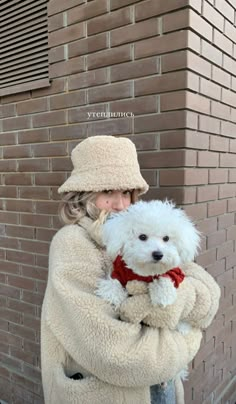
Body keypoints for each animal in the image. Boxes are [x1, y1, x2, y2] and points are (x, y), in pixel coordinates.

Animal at [97, 199, 200, 332]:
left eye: (166, 238)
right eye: (142, 237)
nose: (158, 254)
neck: (145, 272)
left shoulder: (176, 273)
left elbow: (166, 276)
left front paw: (163, 294)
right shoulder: (119, 271)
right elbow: (113, 283)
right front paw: (113, 296)